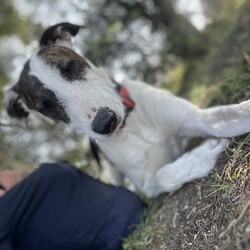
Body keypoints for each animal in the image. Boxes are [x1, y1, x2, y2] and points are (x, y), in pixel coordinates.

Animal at [3, 23, 250, 197]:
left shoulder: (196, 117)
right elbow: (162, 175)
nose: (104, 122)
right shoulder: (146, 185)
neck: (131, 125)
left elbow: (233, 114)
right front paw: (199, 158)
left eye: (70, 67)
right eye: (46, 107)